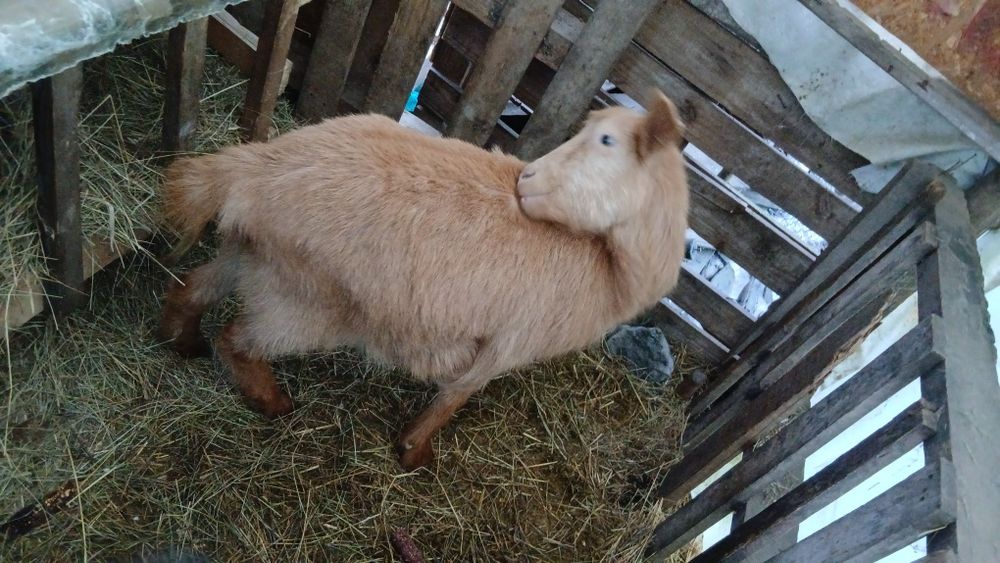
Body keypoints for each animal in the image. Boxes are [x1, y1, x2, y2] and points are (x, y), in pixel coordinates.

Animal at [159, 90, 689, 470]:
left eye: (606, 140)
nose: (527, 180)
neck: (606, 261)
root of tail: (253, 170)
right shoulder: (506, 345)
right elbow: (452, 400)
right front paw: (415, 454)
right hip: (306, 302)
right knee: (237, 341)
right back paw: (273, 402)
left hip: (251, 257)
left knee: (190, 288)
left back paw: (182, 342)